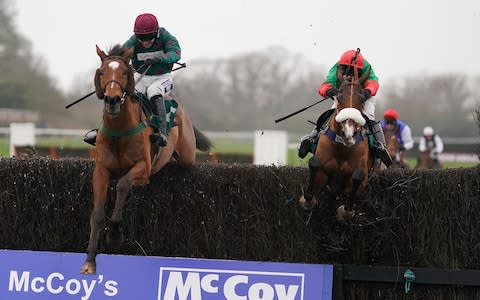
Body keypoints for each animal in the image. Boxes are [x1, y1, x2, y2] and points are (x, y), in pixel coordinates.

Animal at [80, 45, 212, 274]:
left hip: (187, 154)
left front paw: (114, 235)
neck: (119, 131)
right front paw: (89, 261)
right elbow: (96, 214)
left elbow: (123, 184)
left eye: (125, 72)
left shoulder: (143, 169)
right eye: (101, 72)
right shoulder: (101, 171)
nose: (112, 100)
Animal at [298, 68, 376, 220]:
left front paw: (346, 212)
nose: (348, 131)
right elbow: (314, 163)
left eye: (362, 99)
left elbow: (358, 176)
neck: (342, 147)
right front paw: (308, 201)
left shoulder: (362, 177)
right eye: (339, 98)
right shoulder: (322, 173)